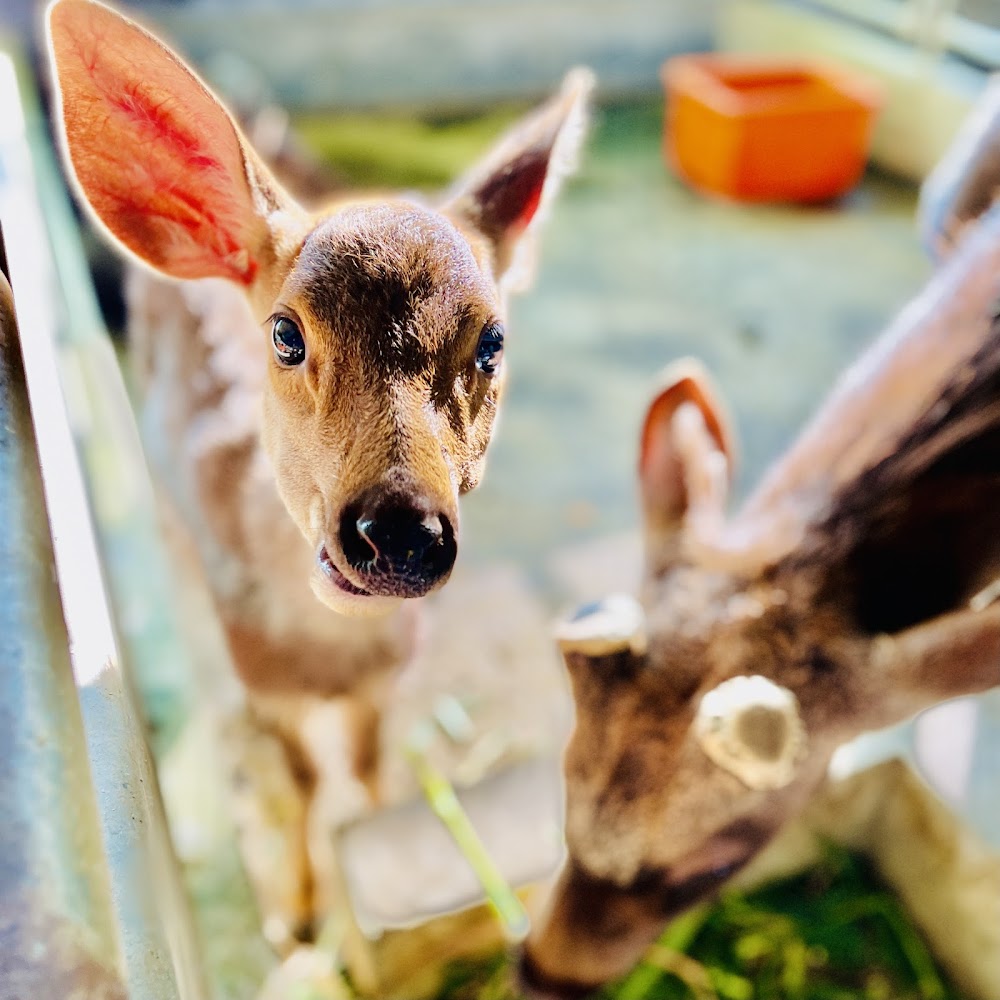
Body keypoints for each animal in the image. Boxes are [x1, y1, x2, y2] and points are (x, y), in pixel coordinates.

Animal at [45, 0, 591, 948]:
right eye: (285, 333)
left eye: (492, 341)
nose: (399, 533)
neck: (325, 651)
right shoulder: (260, 675)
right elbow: (298, 782)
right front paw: (296, 921)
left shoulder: (385, 678)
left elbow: (367, 773)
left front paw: (358, 892)